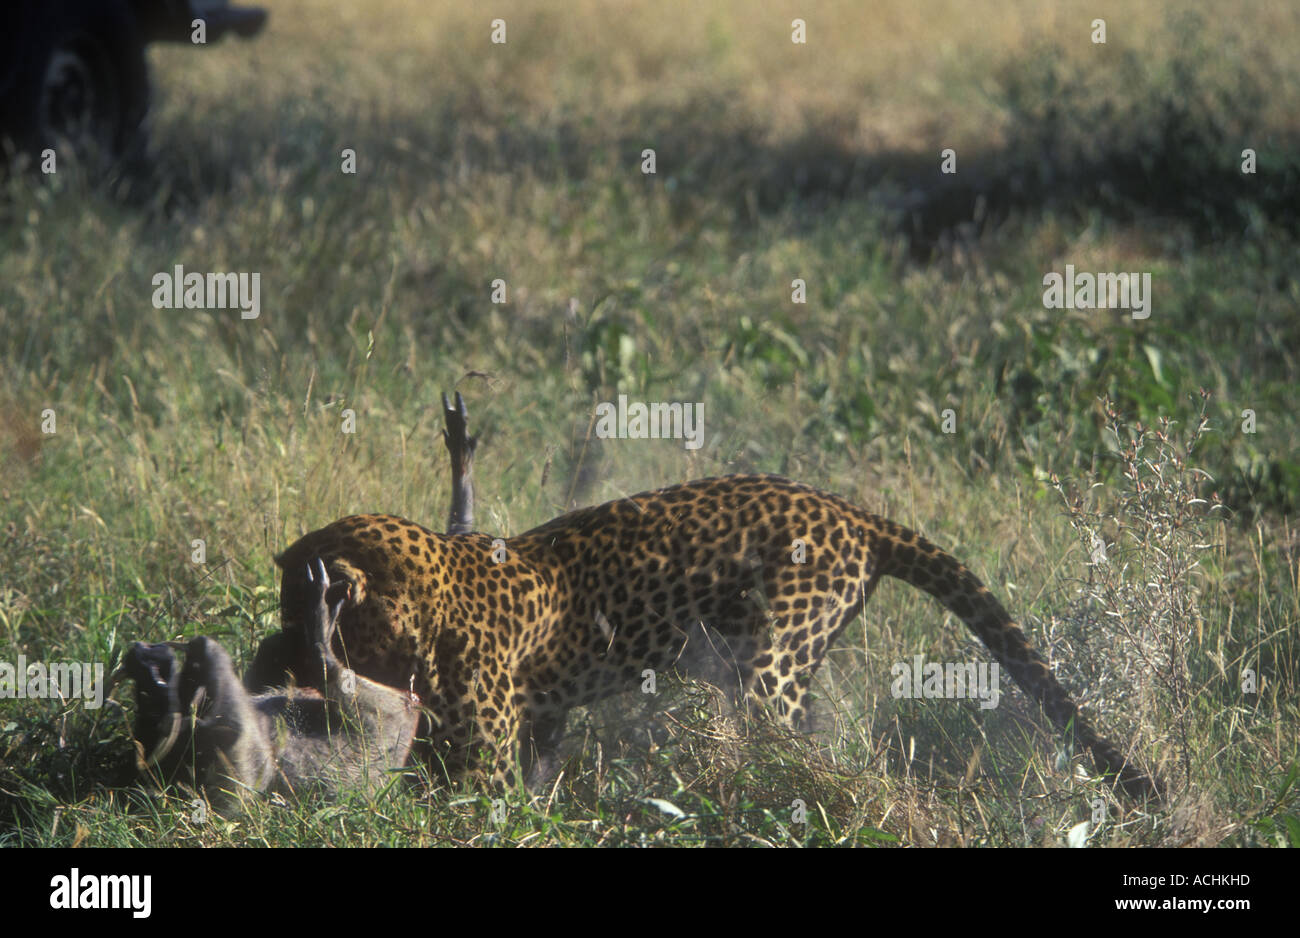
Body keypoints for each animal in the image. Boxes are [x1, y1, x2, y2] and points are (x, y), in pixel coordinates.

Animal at [256, 473, 1160, 802]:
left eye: (295, 602)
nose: (269, 650)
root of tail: (853, 513)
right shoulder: (534, 719)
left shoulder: (484, 747)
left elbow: (478, 802)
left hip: (772, 669)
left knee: (807, 754)